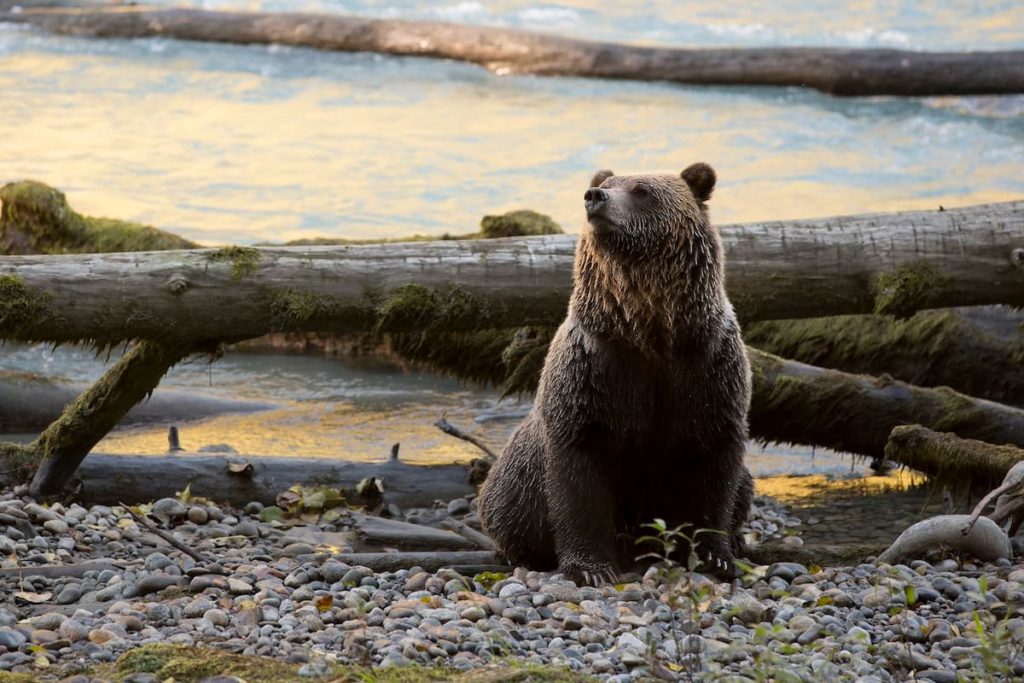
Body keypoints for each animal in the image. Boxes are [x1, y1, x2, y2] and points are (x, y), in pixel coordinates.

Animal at [477, 162, 753, 585]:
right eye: (606, 184)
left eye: (641, 190)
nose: (595, 197)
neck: (649, 333)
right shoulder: (594, 370)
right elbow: (579, 479)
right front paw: (590, 567)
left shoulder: (706, 366)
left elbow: (714, 466)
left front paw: (716, 556)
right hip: (515, 481)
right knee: (506, 509)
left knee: (744, 486)